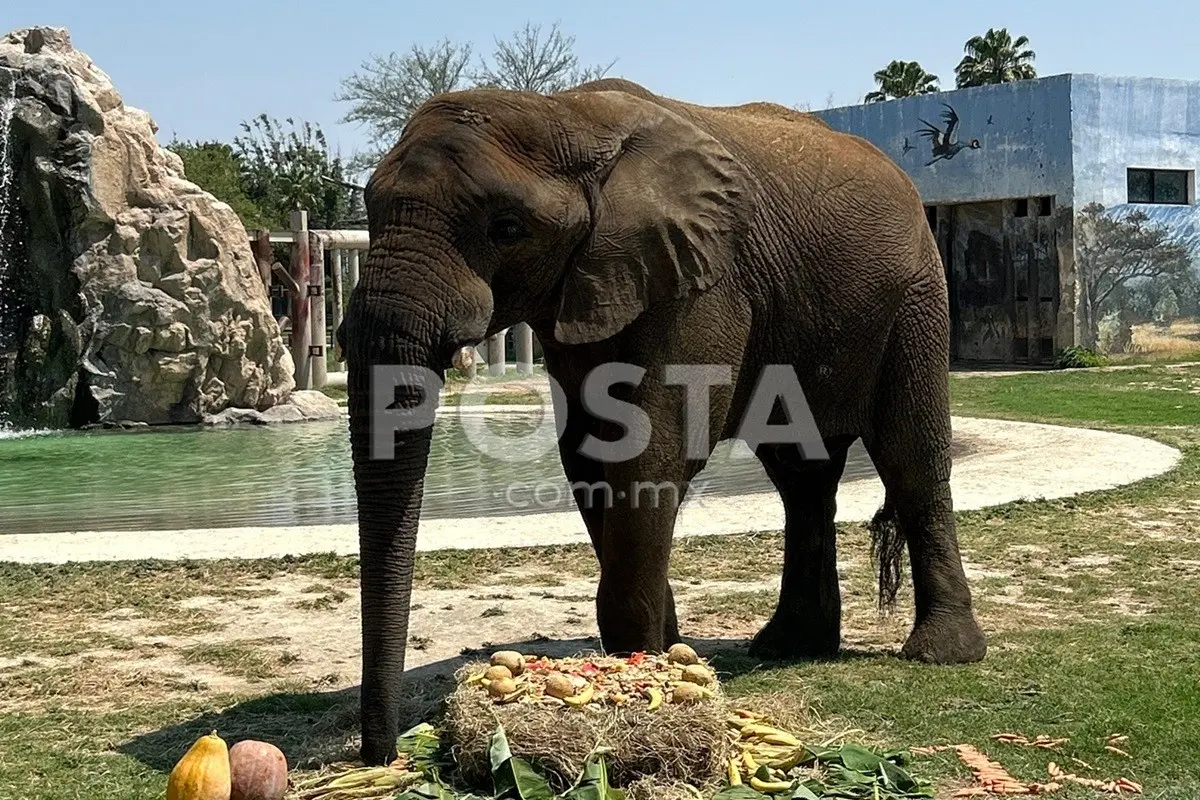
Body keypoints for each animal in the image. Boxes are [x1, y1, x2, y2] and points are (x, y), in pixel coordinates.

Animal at [338, 77, 984, 767]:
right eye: (368, 211)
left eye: (507, 227)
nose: (381, 755)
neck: (562, 113)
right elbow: (587, 458)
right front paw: (663, 650)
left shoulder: (700, 280)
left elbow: (647, 451)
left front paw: (640, 662)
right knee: (801, 479)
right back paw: (790, 646)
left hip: (917, 296)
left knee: (909, 456)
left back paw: (940, 654)